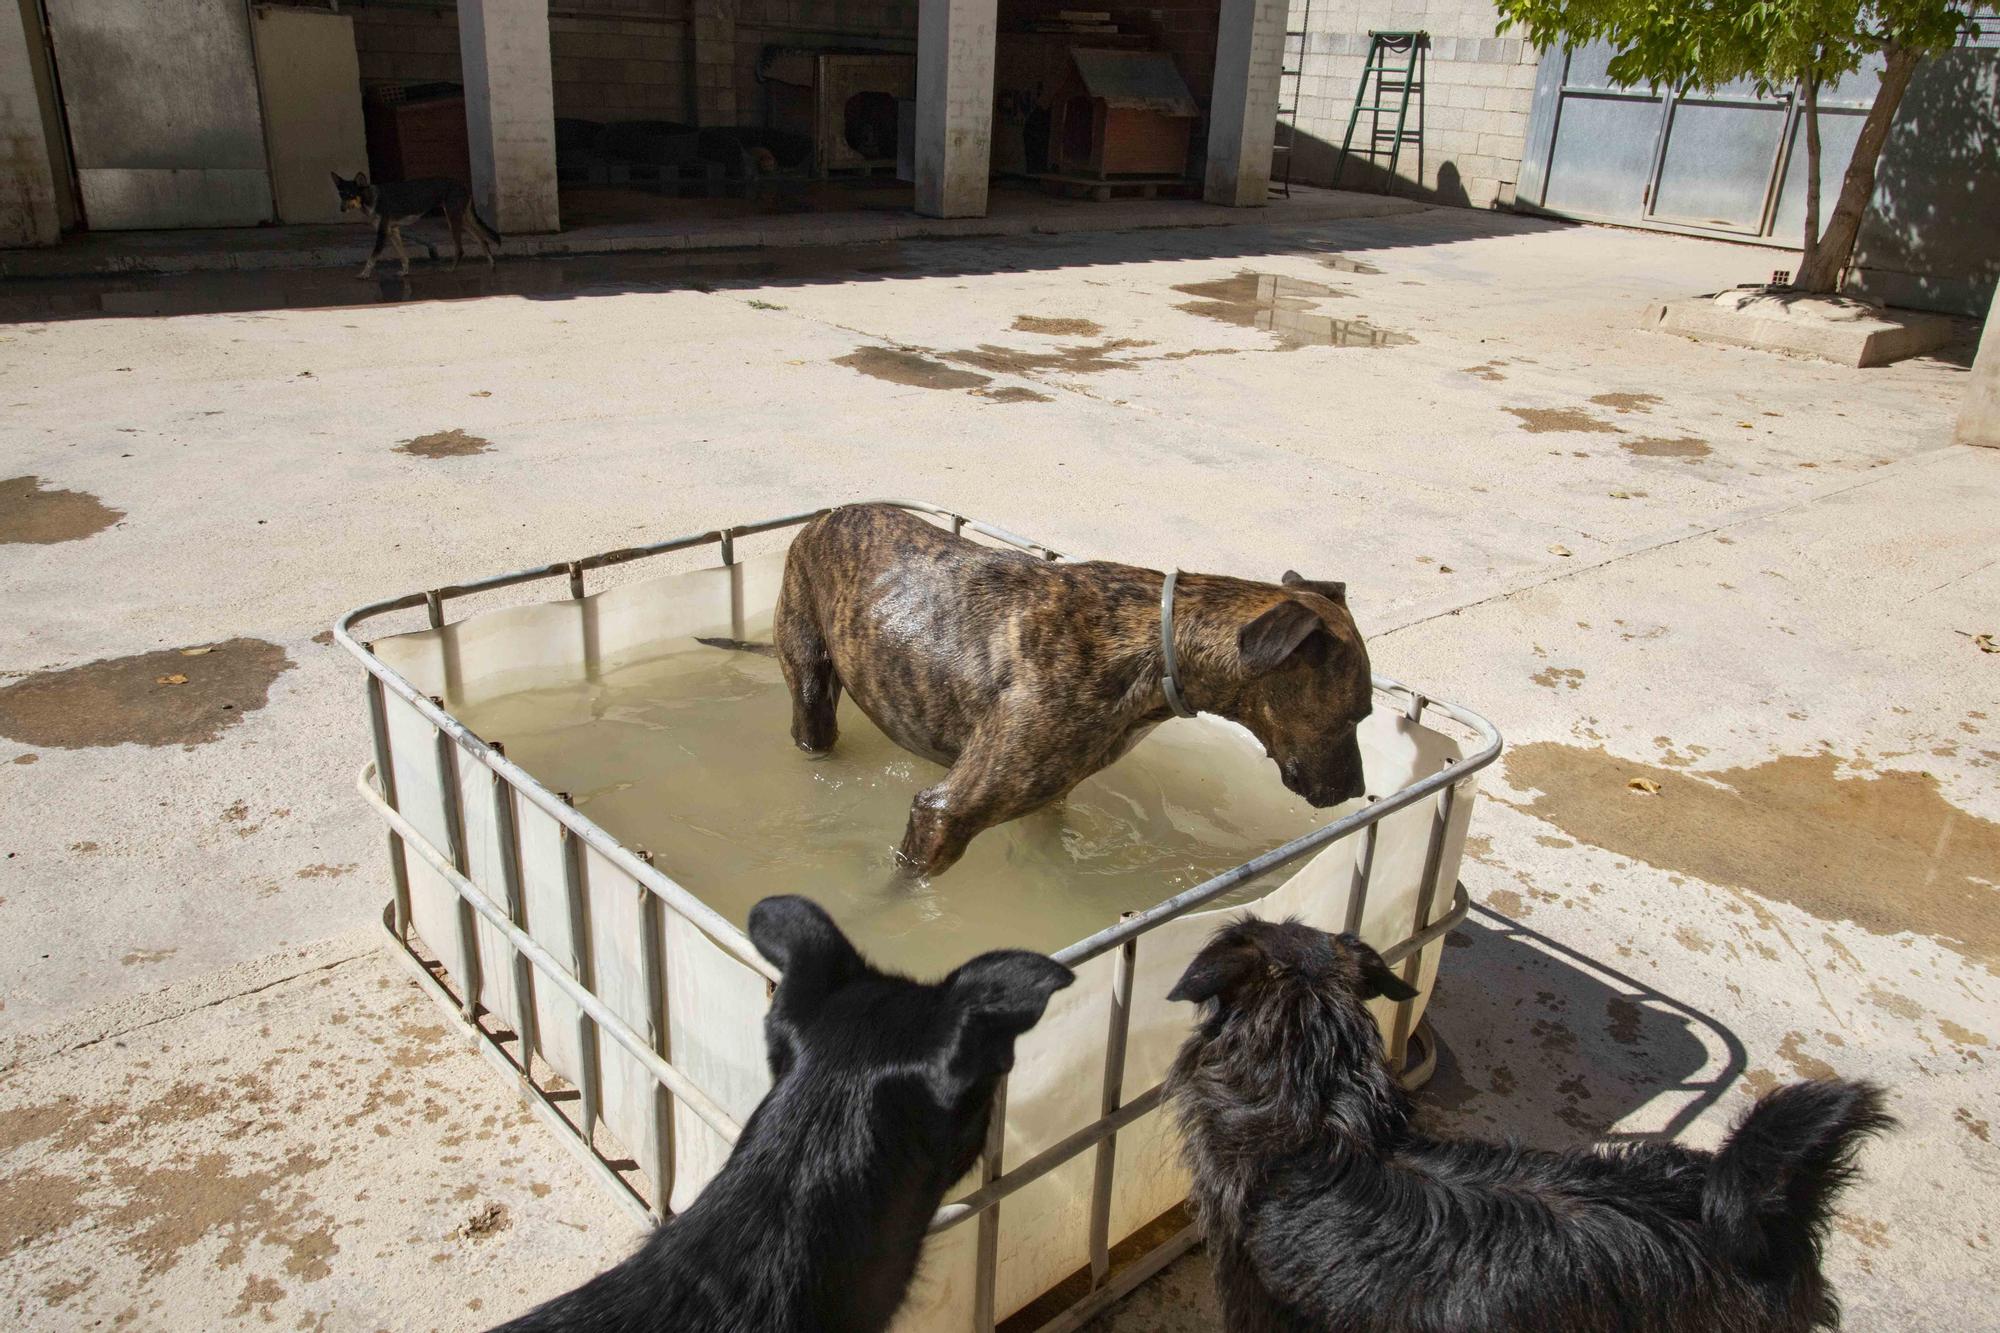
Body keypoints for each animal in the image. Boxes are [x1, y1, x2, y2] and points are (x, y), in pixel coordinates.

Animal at [756, 504, 1368, 876]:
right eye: (1356, 714)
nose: (1359, 791)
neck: (1158, 647)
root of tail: (823, 517)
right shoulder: (944, 815)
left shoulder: (1049, 797)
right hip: (810, 686)